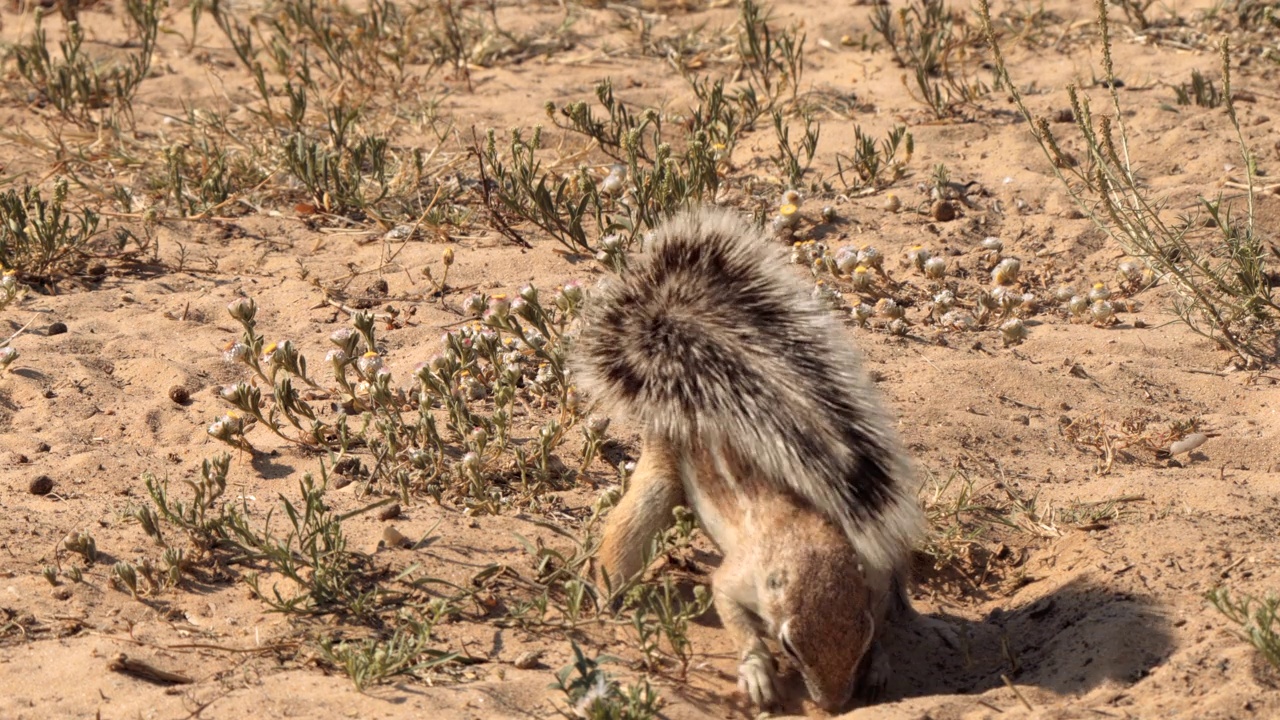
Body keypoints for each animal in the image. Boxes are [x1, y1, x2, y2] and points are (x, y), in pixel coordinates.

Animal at [573, 204, 931, 707]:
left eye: (860, 638)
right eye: (789, 645)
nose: (832, 706)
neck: (803, 542)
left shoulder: (874, 579)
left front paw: (880, 663)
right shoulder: (737, 579)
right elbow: (732, 611)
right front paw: (758, 673)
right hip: (660, 473)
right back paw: (607, 598)